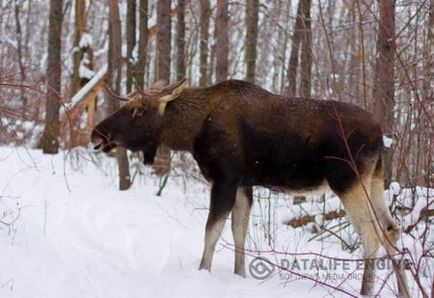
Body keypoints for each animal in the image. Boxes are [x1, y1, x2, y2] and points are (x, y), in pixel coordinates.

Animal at [91, 78, 410, 296]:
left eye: (138, 110)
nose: (97, 133)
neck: (191, 133)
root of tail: (380, 136)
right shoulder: (244, 184)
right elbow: (239, 231)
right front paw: (239, 274)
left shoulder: (225, 178)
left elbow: (212, 231)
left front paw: (203, 271)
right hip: (374, 179)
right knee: (392, 229)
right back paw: (403, 290)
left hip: (348, 180)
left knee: (371, 233)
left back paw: (366, 291)